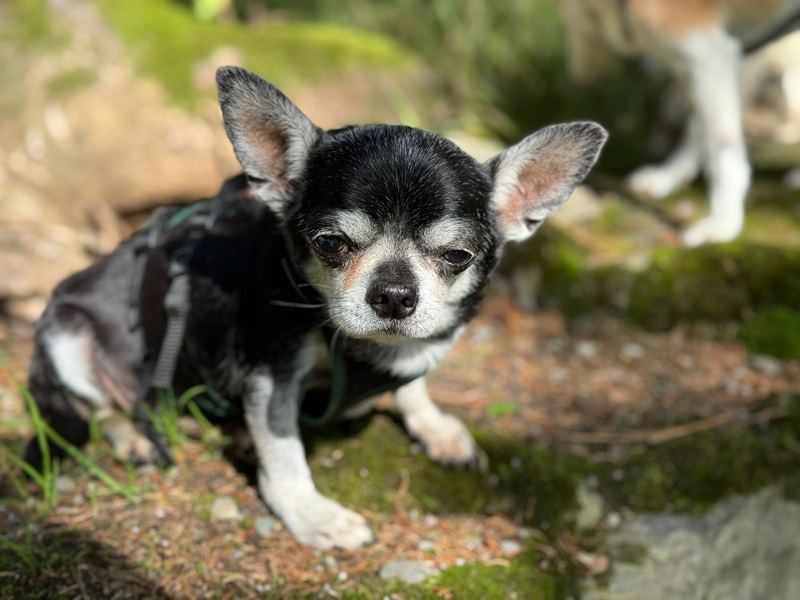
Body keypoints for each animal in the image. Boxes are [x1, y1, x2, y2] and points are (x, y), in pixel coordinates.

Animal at [24, 66, 607, 549]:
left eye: (457, 256)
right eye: (331, 243)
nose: (394, 295)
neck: (364, 350)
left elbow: (414, 384)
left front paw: (433, 425)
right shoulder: (272, 375)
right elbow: (285, 454)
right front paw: (311, 514)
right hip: (65, 334)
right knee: (97, 409)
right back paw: (137, 438)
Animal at [559, 0, 800, 246]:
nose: (581, 84)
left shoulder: (709, 56)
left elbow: (723, 151)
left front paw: (723, 222)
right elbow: (697, 127)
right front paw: (670, 176)